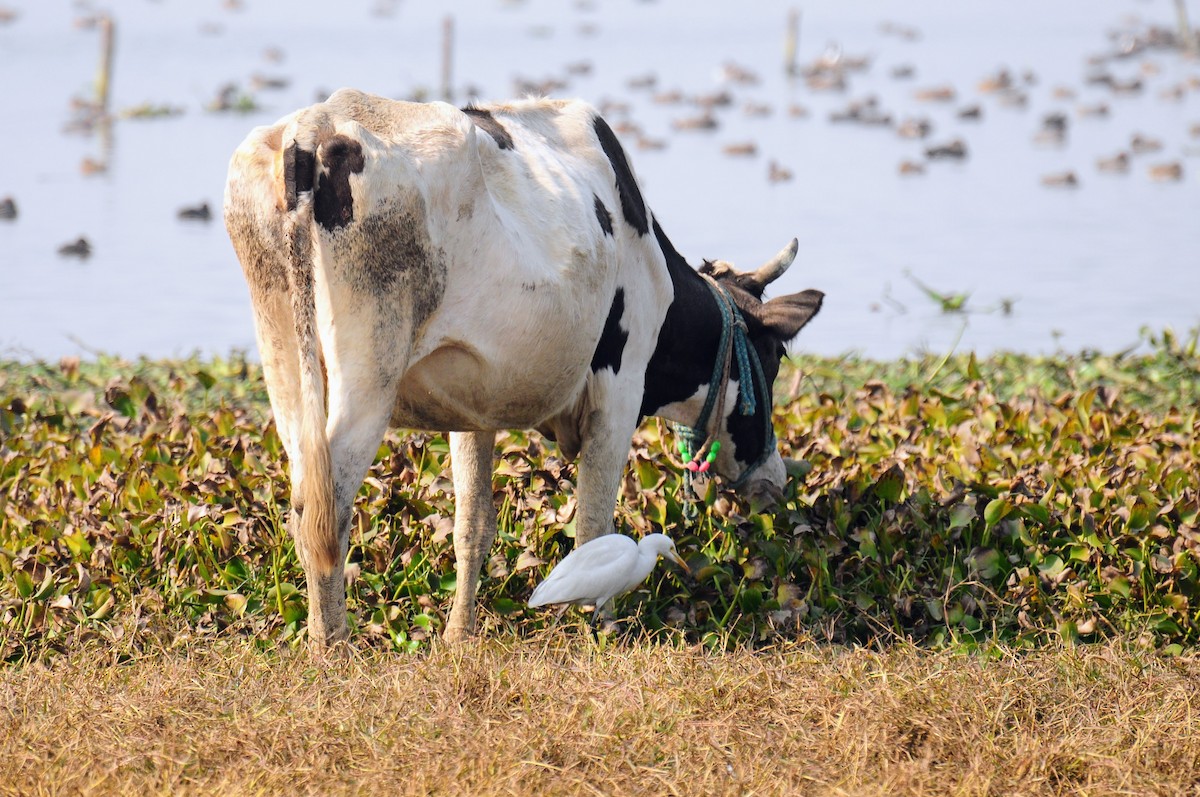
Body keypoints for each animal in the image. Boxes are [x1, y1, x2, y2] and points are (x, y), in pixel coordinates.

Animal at [223, 88, 823, 648]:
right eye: (774, 357)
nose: (774, 479)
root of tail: (315, 124)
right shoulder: (620, 389)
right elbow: (595, 526)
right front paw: (602, 627)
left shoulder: (473, 405)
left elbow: (473, 523)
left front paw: (459, 632)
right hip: (369, 370)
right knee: (327, 507)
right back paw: (332, 644)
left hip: (284, 357)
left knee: (304, 493)